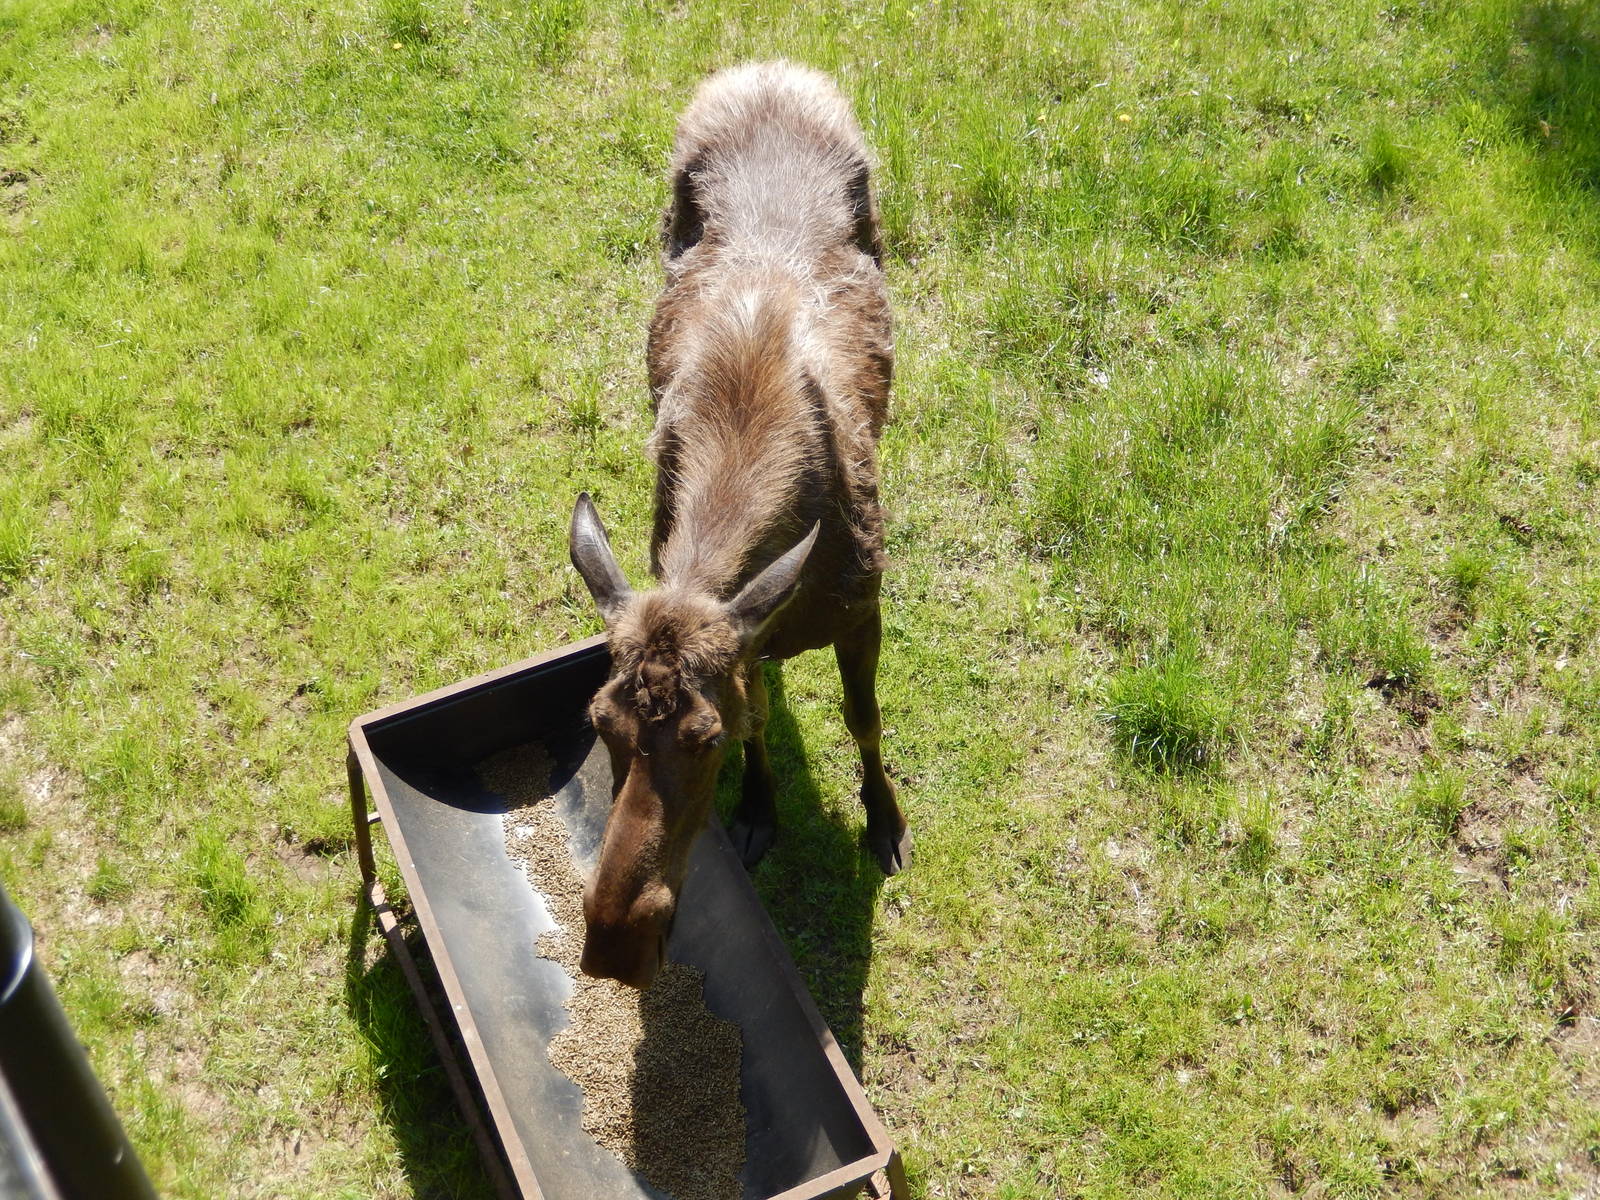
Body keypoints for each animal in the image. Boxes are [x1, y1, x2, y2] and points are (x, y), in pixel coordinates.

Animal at [568, 61, 909, 990]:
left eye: (702, 737)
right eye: (597, 721)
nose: (615, 940)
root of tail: (766, 67)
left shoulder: (864, 604)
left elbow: (862, 717)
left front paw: (885, 819)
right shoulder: (747, 634)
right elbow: (763, 712)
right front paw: (760, 811)